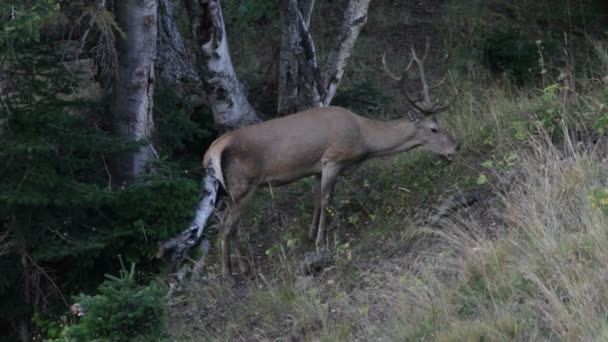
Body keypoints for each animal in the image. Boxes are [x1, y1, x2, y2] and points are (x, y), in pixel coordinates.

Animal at [157, 41, 456, 280]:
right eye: (433, 129)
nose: (456, 147)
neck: (364, 139)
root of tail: (211, 151)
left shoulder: (316, 168)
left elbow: (315, 199)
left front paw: (310, 234)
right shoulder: (333, 159)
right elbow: (326, 200)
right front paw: (321, 242)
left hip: (229, 189)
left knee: (231, 223)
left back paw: (244, 267)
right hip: (244, 184)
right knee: (226, 225)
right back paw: (228, 274)